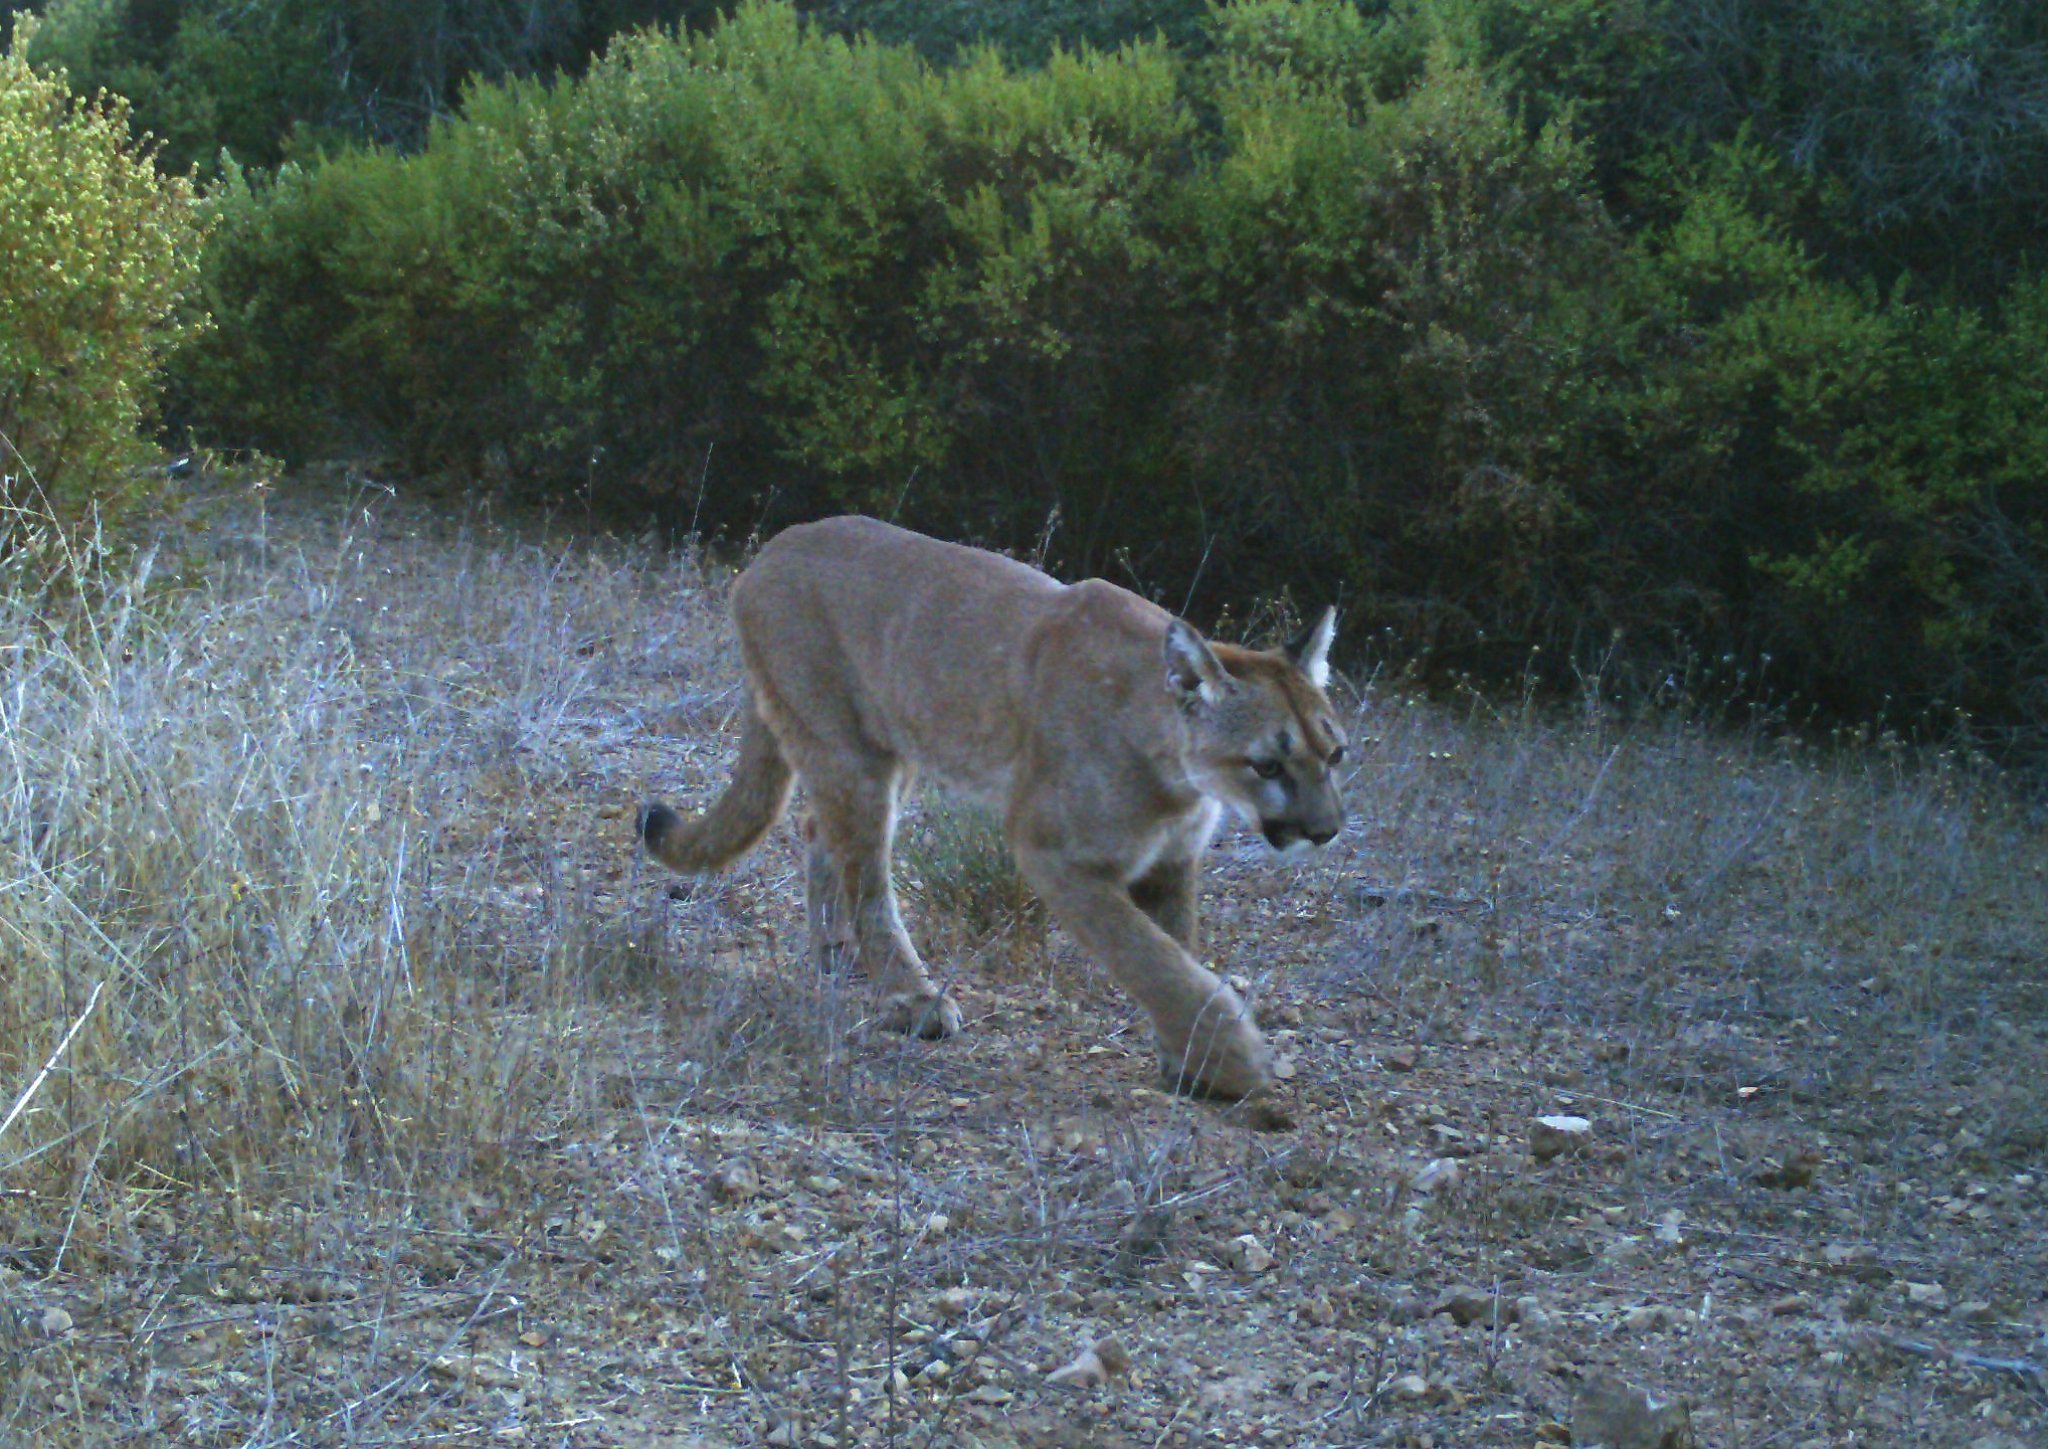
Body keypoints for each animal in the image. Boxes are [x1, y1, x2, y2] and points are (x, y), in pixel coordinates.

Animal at [638, 515, 1343, 1105]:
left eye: (1334, 754)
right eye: (1268, 764)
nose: (1327, 830)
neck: (1177, 771)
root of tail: (771, 549)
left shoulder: (1170, 863)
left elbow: (1178, 955)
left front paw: (1190, 1061)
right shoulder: (1055, 852)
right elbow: (1151, 958)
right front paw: (1234, 1060)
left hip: (889, 750)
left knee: (822, 834)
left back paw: (837, 954)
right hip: (849, 753)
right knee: (866, 876)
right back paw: (911, 996)